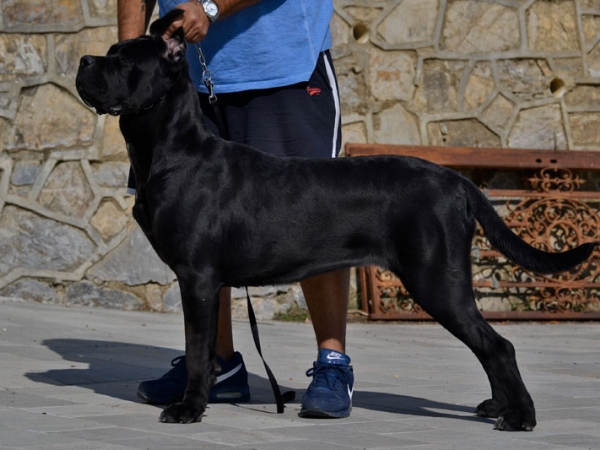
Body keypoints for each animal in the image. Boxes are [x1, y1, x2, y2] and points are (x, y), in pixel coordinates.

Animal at [77, 11, 596, 432]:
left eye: (123, 60)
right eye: (109, 52)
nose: (83, 60)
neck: (170, 148)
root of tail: (456, 180)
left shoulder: (198, 277)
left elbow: (199, 348)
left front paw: (189, 408)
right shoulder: (206, 279)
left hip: (437, 279)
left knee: (498, 346)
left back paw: (520, 417)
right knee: (488, 347)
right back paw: (497, 407)